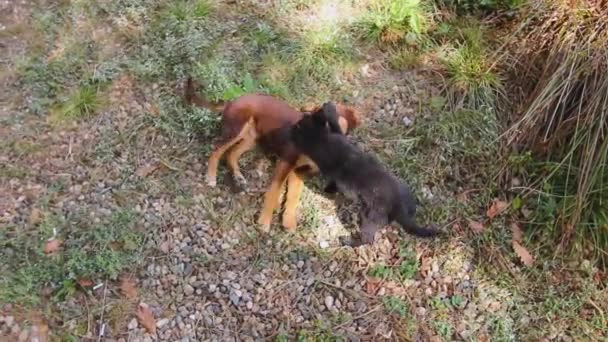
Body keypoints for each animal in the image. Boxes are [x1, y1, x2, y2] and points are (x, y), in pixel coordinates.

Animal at [183, 78, 358, 231]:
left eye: (338, 127)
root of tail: (233, 101)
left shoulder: (299, 171)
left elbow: (293, 197)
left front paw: (288, 221)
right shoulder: (286, 161)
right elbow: (274, 191)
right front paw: (264, 221)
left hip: (251, 138)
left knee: (231, 154)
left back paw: (238, 176)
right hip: (236, 129)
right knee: (216, 151)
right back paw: (211, 176)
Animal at [292, 102, 440, 246]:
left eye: (298, 124)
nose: (293, 126)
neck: (323, 140)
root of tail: (399, 207)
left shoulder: (331, 169)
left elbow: (332, 182)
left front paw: (326, 188)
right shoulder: (340, 137)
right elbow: (336, 125)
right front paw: (329, 108)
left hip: (369, 216)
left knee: (368, 239)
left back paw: (347, 241)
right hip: (403, 188)